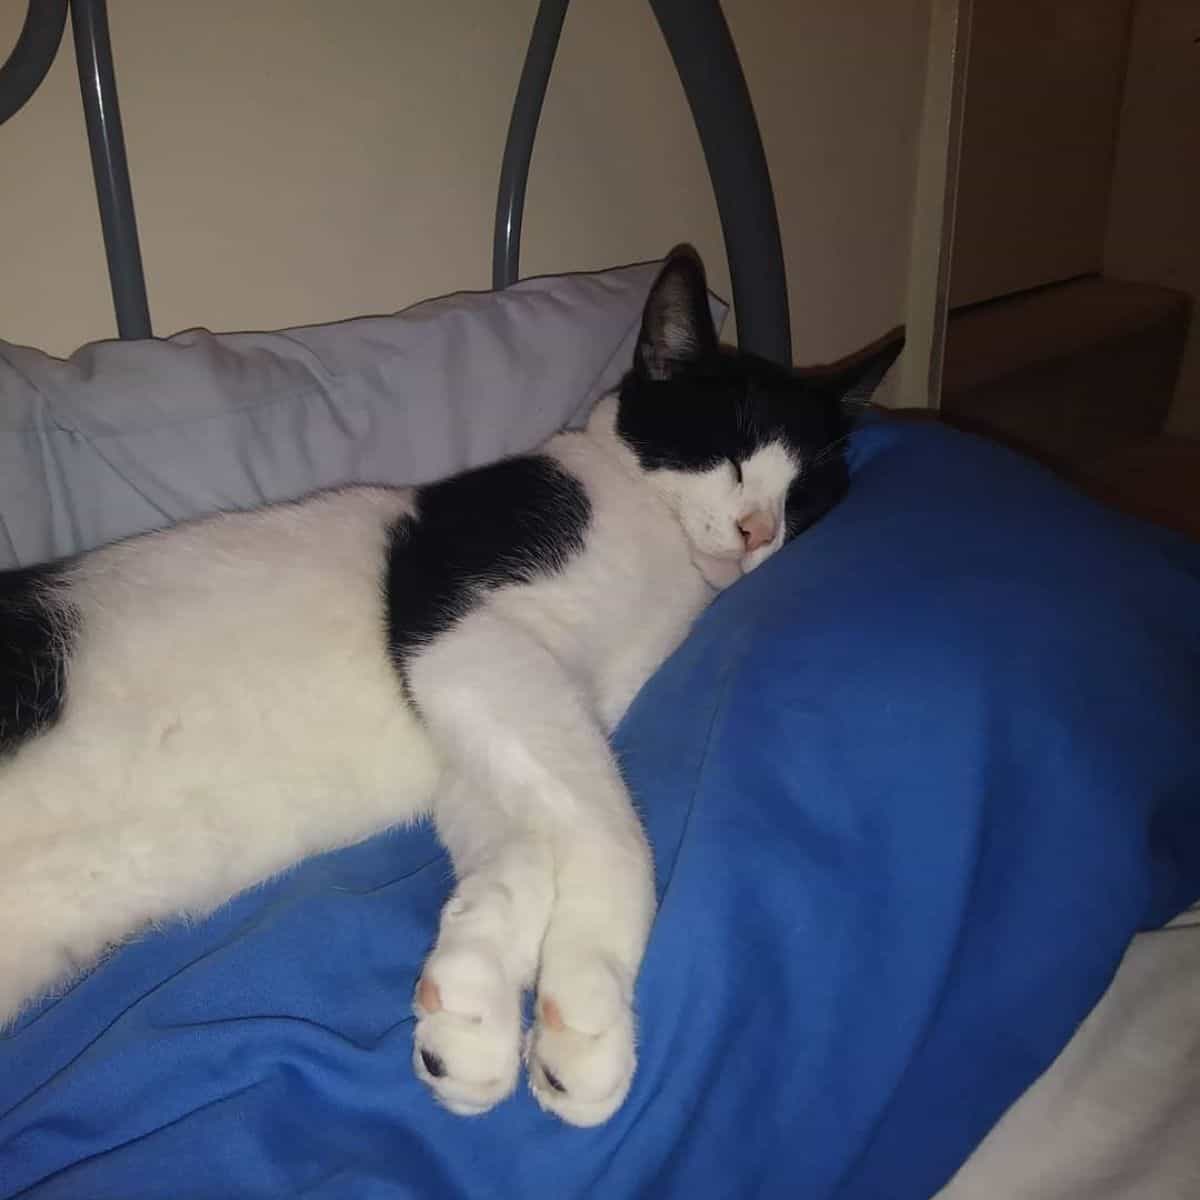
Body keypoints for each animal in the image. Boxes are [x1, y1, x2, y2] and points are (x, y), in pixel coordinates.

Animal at [0, 243, 902, 1123]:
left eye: (806, 494)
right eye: (730, 453)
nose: (758, 532)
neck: (655, 547)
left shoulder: (492, 726)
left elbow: (526, 844)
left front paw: (472, 1002)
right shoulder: (464, 635)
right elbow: (612, 830)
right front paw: (590, 1011)